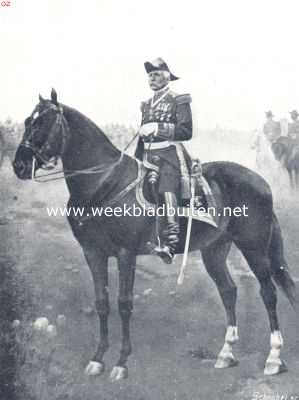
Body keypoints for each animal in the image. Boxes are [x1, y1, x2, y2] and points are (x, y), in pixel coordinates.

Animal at [12, 90, 298, 382]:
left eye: (43, 123)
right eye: (28, 121)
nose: (19, 165)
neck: (103, 183)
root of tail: (261, 182)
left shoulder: (126, 254)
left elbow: (124, 304)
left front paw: (121, 363)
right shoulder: (93, 253)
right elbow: (102, 303)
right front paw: (97, 359)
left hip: (253, 248)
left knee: (268, 292)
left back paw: (274, 358)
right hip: (215, 250)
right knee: (228, 291)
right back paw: (226, 354)